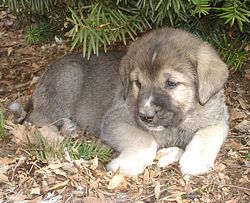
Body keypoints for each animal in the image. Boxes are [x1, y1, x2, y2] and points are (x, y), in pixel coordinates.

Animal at [29, 27, 229, 175]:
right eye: (138, 83)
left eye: (171, 83)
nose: (145, 116)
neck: (176, 126)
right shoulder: (115, 120)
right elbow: (146, 140)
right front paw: (126, 164)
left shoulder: (219, 118)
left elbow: (207, 134)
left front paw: (196, 161)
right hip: (69, 78)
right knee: (38, 118)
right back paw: (65, 128)